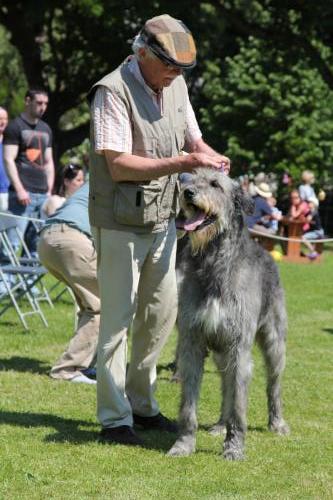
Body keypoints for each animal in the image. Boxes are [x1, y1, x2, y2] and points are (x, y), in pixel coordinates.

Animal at [169, 169, 288, 460]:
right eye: (191, 180)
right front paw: (183, 444)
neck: (214, 262)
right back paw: (221, 424)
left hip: (274, 342)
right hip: (221, 352)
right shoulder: (193, 341)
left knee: (273, 385)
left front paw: (234, 448)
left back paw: (277, 422)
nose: (187, 193)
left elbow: (239, 406)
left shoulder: (239, 347)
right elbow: (189, 405)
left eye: (215, 184)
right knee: (226, 387)